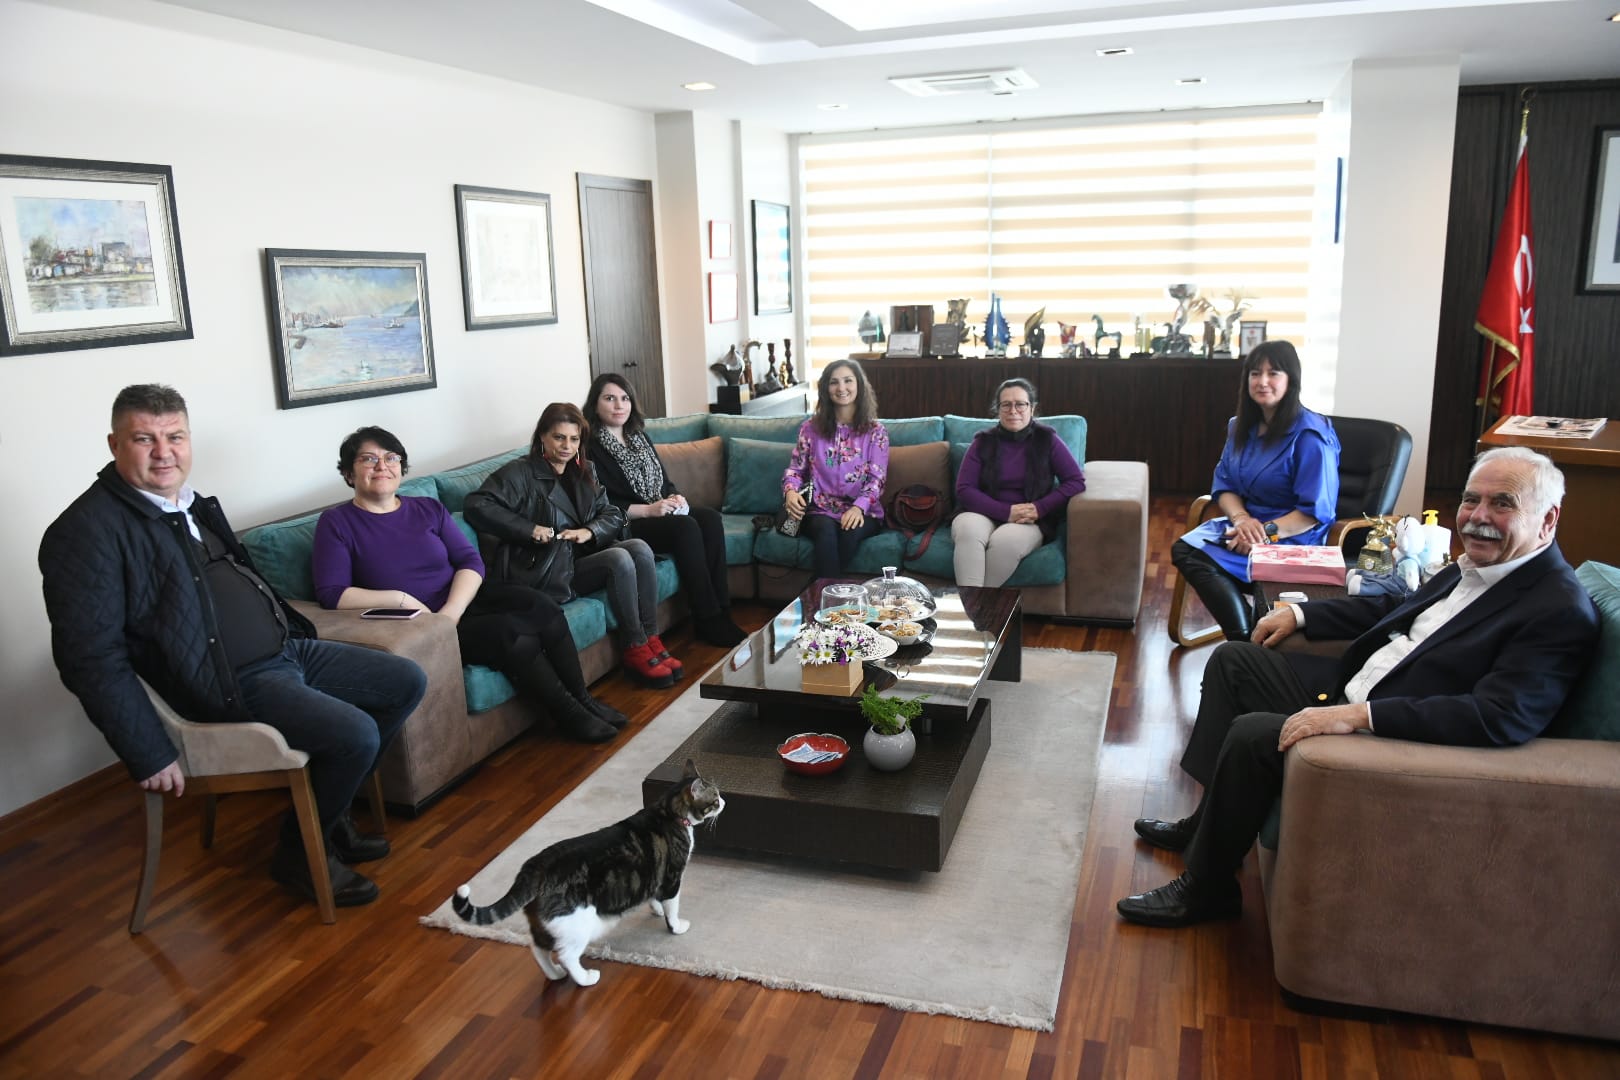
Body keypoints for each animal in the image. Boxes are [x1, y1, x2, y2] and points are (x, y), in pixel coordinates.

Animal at [452, 759, 724, 987]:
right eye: (715, 797)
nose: (724, 801)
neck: (669, 812)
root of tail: (535, 867)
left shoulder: (655, 878)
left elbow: (654, 897)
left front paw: (655, 910)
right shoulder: (672, 877)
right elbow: (671, 906)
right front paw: (676, 926)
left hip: (545, 923)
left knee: (538, 948)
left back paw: (554, 975)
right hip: (579, 923)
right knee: (566, 955)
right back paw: (586, 978)